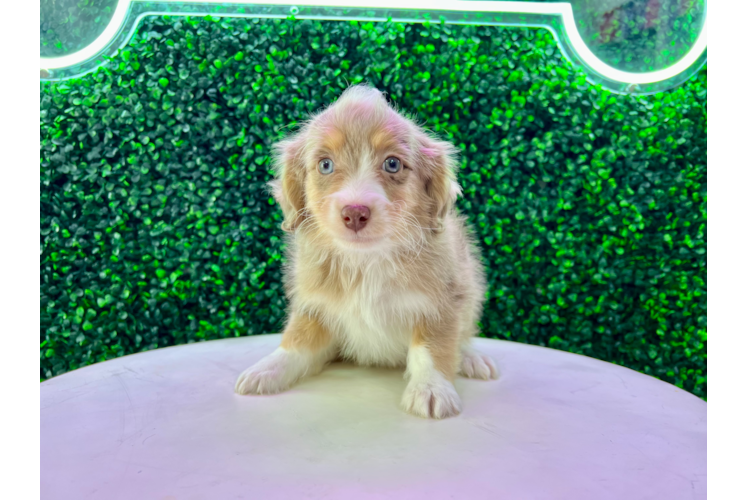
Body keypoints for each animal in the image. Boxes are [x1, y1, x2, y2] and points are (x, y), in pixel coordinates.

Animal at [235, 86, 496, 418]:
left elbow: (433, 347)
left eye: (392, 163)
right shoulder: (314, 304)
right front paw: (268, 368)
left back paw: (472, 358)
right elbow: (298, 338)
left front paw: (431, 388)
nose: (355, 213)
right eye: (325, 164)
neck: (366, 261)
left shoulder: (444, 302)